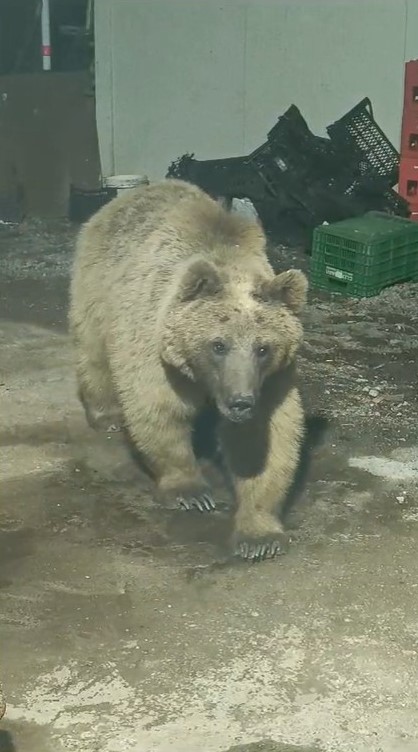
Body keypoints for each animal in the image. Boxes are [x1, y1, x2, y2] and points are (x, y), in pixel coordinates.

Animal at [68, 179, 308, 560]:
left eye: (263, 348)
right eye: (218, 344)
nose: (240, 402)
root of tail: (133, 192)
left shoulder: (271, 381)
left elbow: (262, 440)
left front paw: (259, 535)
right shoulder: (156, 349)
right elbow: (159, 409)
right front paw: (191, 492)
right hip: (97, 283)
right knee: (93, 348)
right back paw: (105, 413)